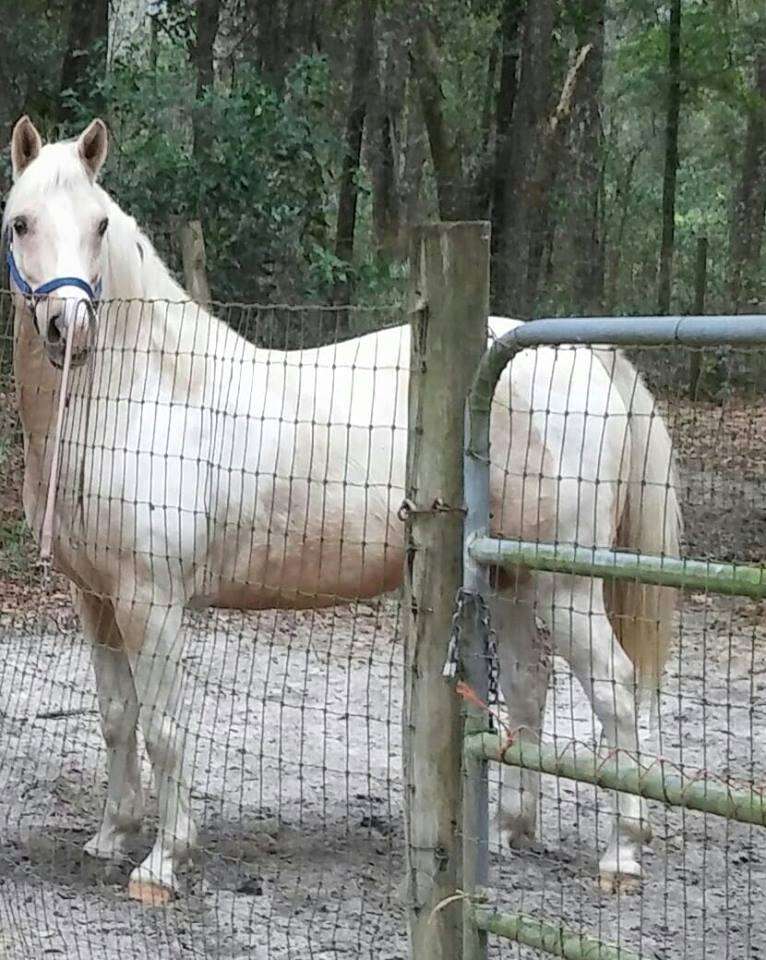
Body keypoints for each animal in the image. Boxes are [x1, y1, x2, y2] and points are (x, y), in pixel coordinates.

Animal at [3, 116, 680, 904]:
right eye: (21, 222)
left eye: (101, 224)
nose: (70, 330)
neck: (140, 394)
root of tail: (582, 358)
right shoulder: (97, 600)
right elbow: (116, 717)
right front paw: (111, 837)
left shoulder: (152, 600)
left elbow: (165, 725)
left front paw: (164, 863)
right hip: (513, 579)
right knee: (527, 686)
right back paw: (512, 834)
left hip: (567, 585)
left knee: (616, 691)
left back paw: (622, 854)